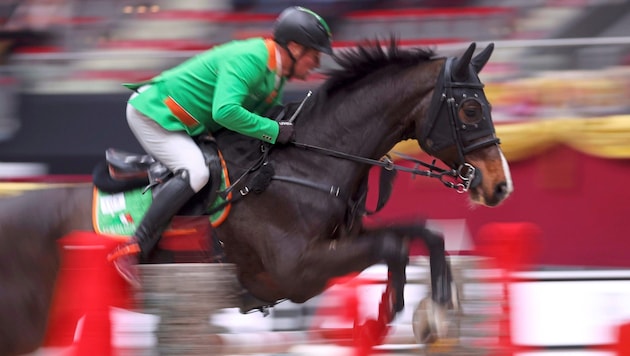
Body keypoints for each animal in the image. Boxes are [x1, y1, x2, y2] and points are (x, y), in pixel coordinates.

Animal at [0, 39, 512, 356]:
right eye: (471, 109)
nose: (499, 186)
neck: (307, 165)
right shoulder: (297, 272)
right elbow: (395, 246)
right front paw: (407, 319)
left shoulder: (338, 247)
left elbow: (423, 234)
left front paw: (430, 312)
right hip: (25, 321)